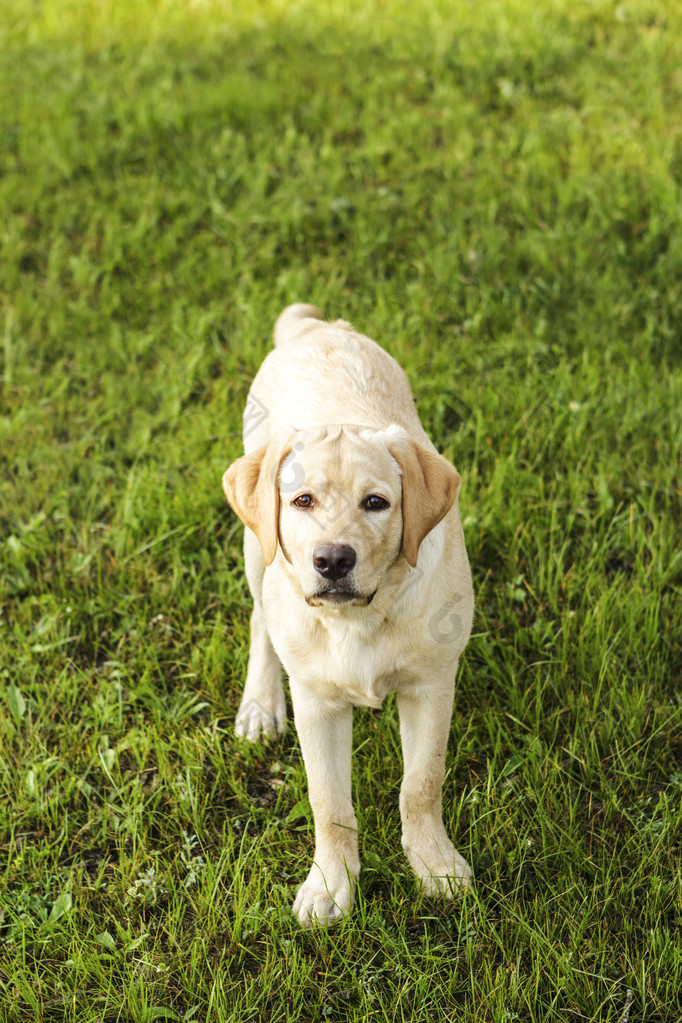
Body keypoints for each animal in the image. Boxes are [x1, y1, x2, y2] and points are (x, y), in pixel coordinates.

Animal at [223, 302, 474, 928]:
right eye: (303, 501)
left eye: (376, 503)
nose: (333, 560)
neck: (361, 618)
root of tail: (317, 326)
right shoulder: (317, 702)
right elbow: (329, 800)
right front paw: (331, 886)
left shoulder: (433, 683)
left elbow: (421, 783)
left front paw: (434, 865)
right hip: (256, 546)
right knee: (262, 617)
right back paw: (260, 706)